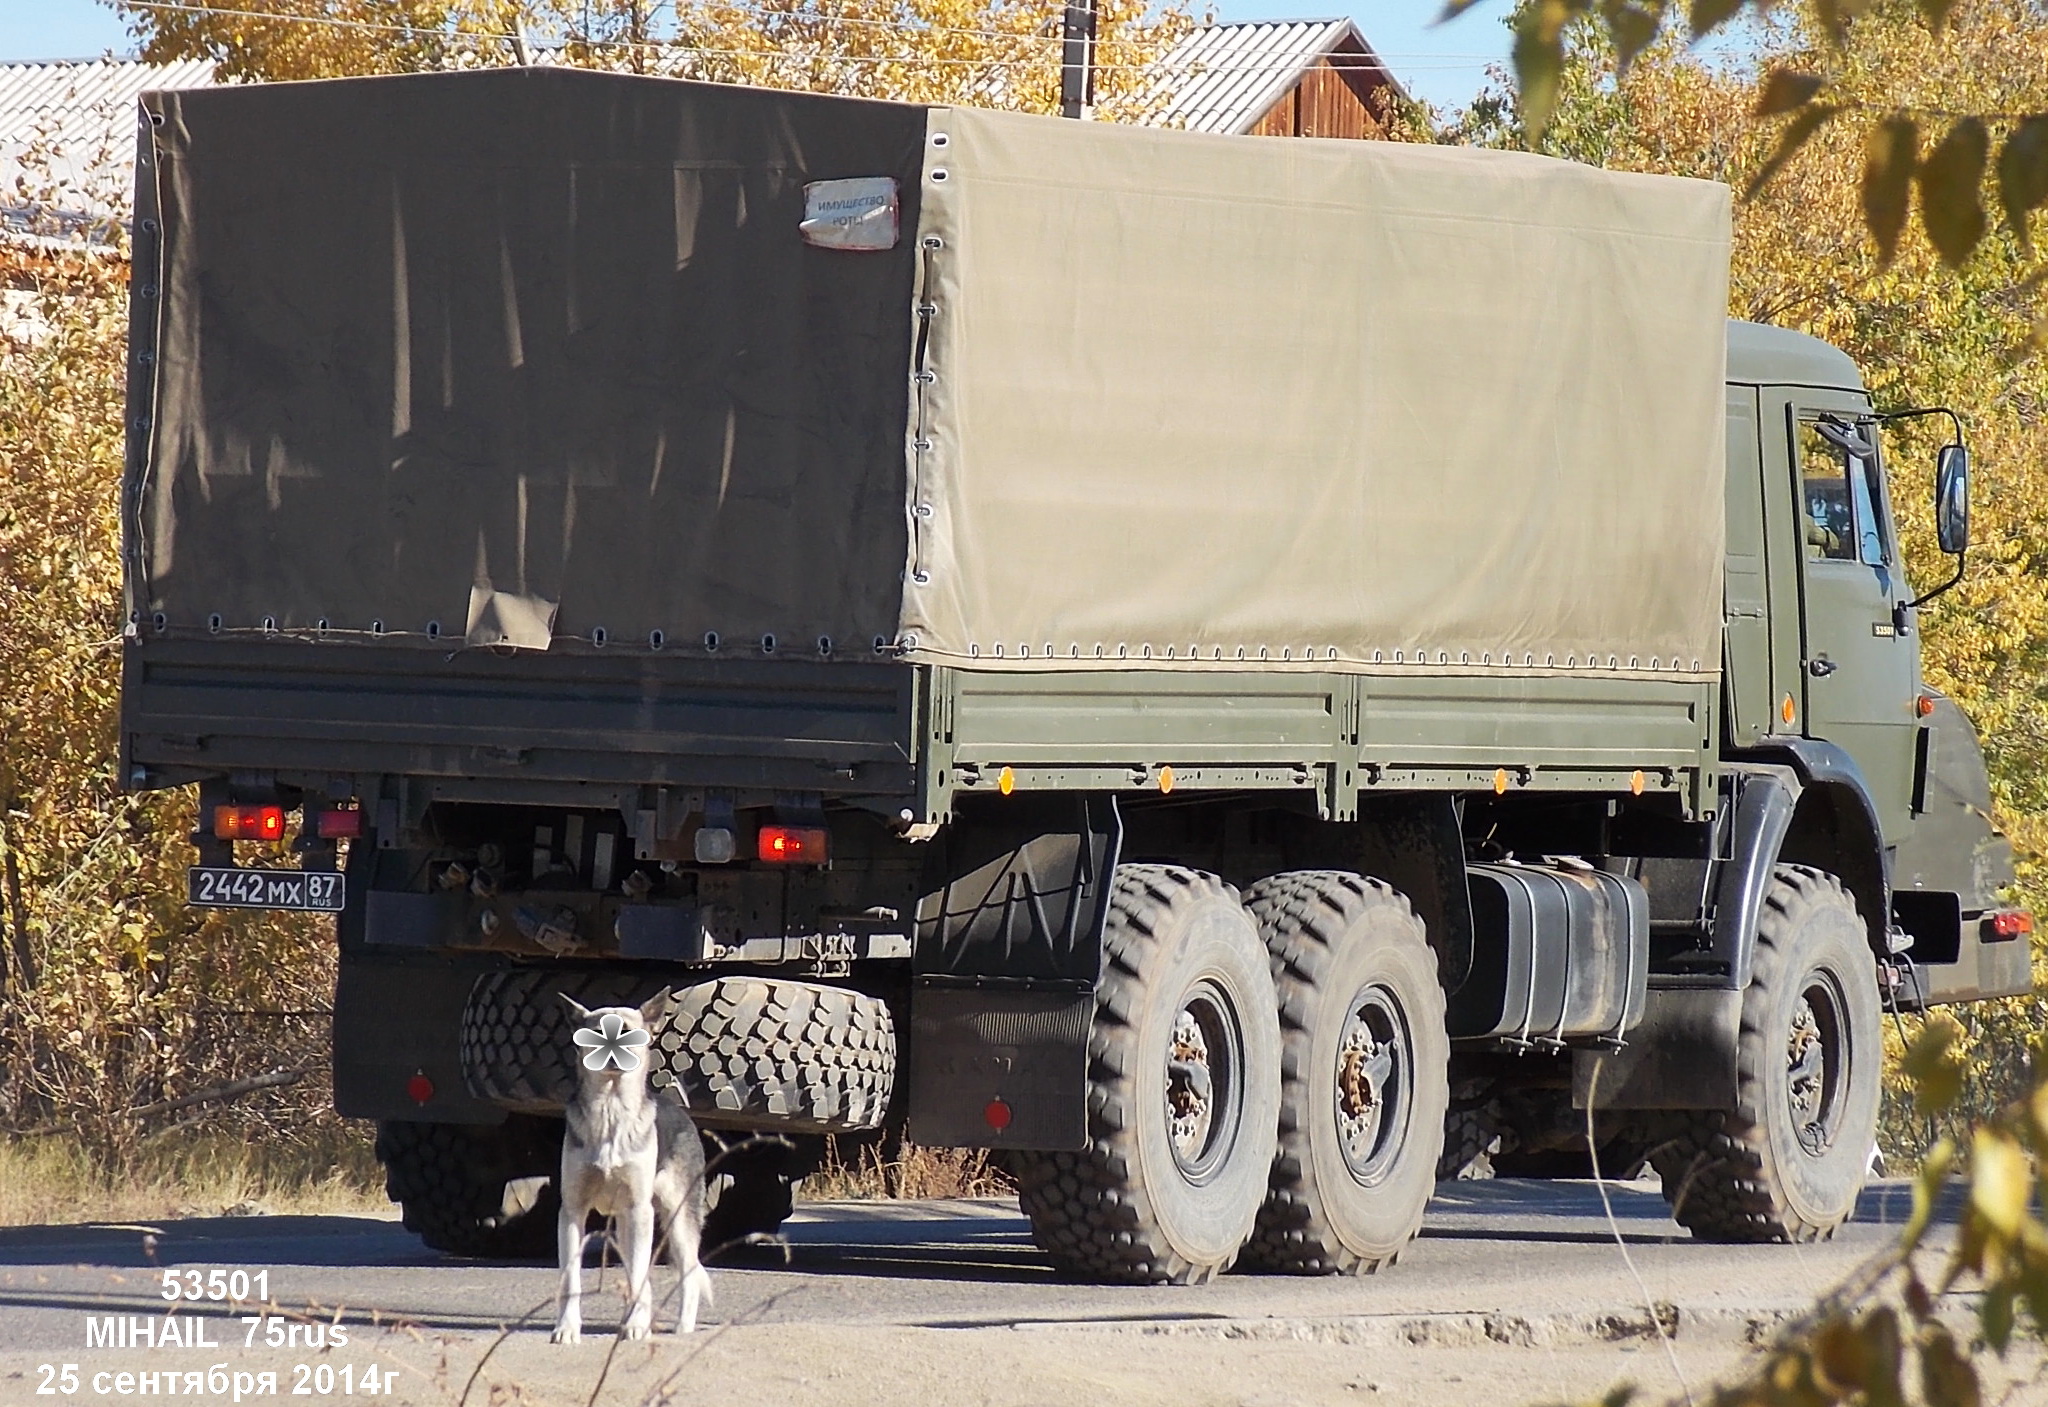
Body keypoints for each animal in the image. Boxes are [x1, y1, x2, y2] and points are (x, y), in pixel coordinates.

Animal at [552, 991, 712, 1343]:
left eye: (627, 1033)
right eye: (597, 1033)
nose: (613, 1055)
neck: (611, 1113)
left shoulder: (640, 1210)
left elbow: (639, 1274)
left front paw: (637, 1326)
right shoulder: (572, 1211)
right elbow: (570, 1280)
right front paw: (566, 1328)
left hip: (675, 1219)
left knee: (688, 1273)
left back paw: (681, 1327)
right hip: (626, 1226)